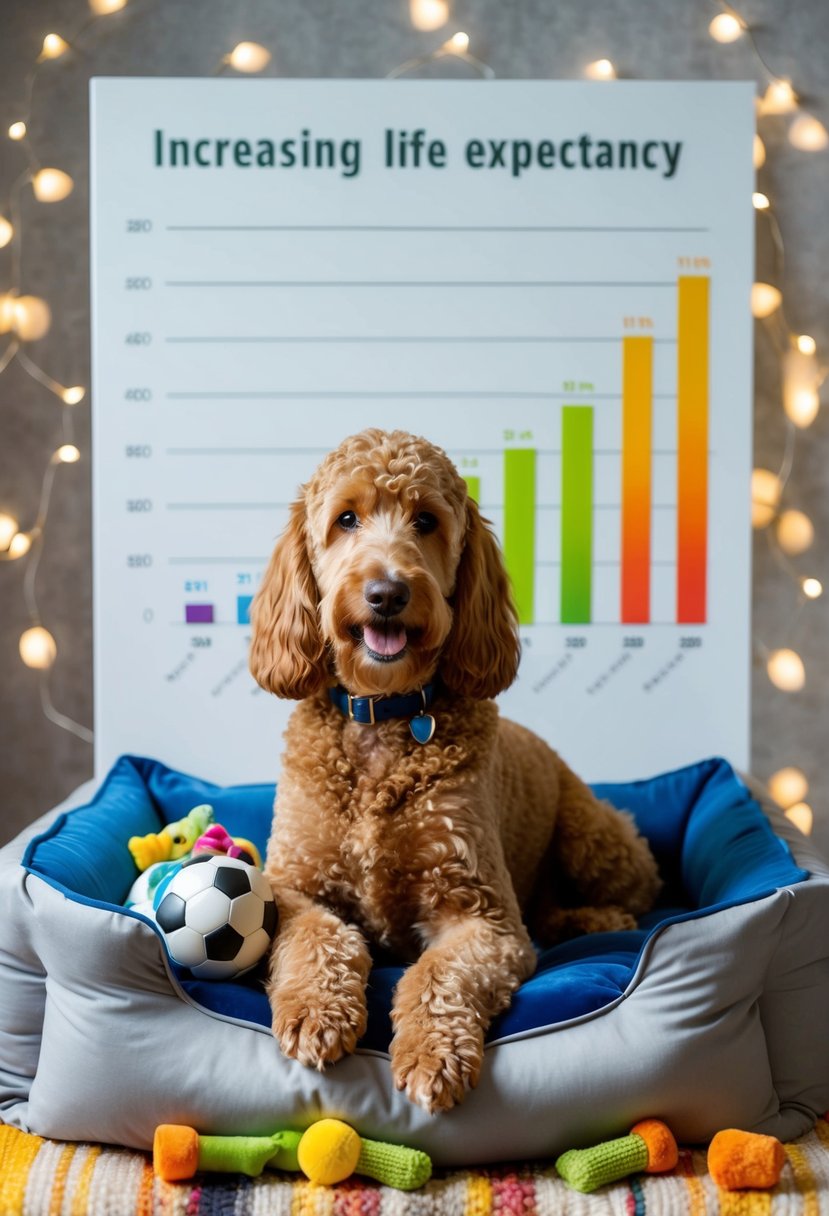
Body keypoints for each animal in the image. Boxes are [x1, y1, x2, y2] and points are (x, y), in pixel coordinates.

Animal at [249, 428, 661, 1113]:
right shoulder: (293, 887)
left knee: (637, 897)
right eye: (346, 519)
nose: (388, 593)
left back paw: (600, 921)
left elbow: (436, 972)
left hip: (596, 841)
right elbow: (318, 937)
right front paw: (315, 1011)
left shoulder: (483, 916)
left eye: (426, 522)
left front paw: (431, 1053)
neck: (383, 717)